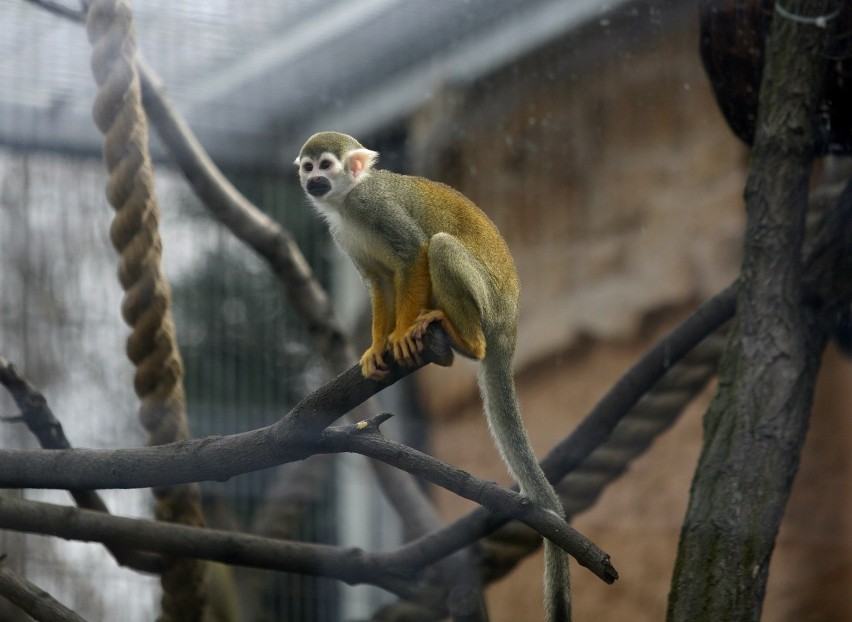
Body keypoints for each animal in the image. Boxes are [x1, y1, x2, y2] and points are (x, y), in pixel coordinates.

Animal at [296, 133, 568, 622]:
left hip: (489, 305)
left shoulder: (376, 207)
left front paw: (402, 334)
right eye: (308, 168)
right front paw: (376, 347)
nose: (314, 181)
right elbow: (380, 280)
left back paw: (464, 340)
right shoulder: (343, 233)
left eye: (325, 165)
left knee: (440, 245)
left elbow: (413, 253)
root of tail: (511, 327)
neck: (348, 200)